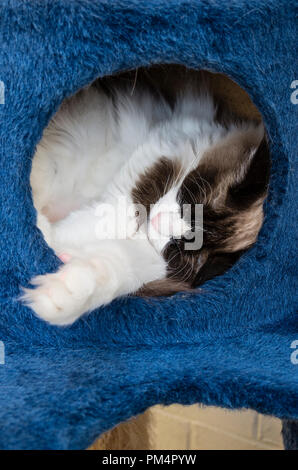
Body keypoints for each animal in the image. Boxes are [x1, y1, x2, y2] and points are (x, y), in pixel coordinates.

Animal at [22, 78, 270, 326]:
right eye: (187, 201)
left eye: (180, 246)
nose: (157, 221)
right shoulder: (164, 152)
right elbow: (120, 214)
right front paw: (44, 231)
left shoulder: (156, 262)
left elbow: (114, 265)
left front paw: (61, 291)